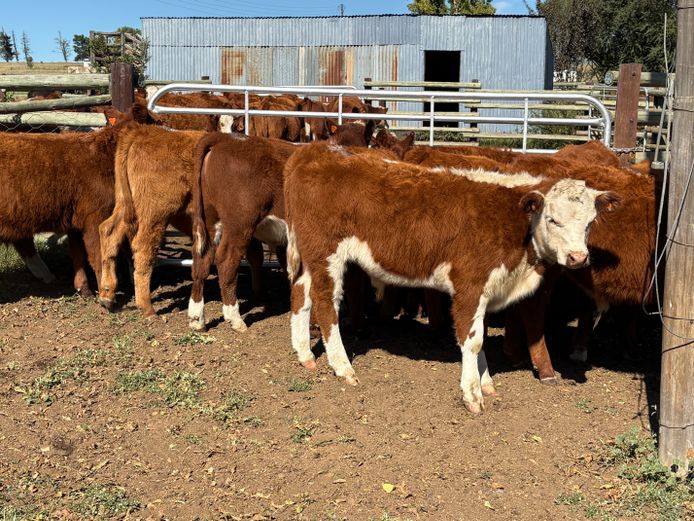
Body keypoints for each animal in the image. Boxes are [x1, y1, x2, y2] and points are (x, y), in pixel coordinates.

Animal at [283, 142, 620, 413]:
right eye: (552, 219)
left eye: (590, 222)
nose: (578, 257)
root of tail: (316, 150)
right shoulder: (469, 284)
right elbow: (472, 340)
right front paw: (472, 395)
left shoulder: (487, 289)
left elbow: (480, 337)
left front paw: (485, 382)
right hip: (327, 254)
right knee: (326, 305)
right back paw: (343, 368)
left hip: (310, 256)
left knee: (300, 294)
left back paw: (305, 355)